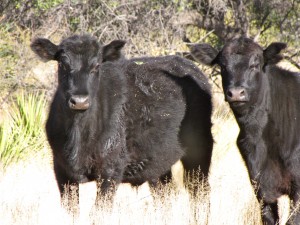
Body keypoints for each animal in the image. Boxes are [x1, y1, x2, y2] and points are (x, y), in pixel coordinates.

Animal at [30, 34, 213, 200]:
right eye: (63, 63)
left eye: (96, 65)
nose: (79, 101)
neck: (79, 133)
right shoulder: (62, 172)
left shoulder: (110, 171)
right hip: (160, 163)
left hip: (200, 150)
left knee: (199, 191)